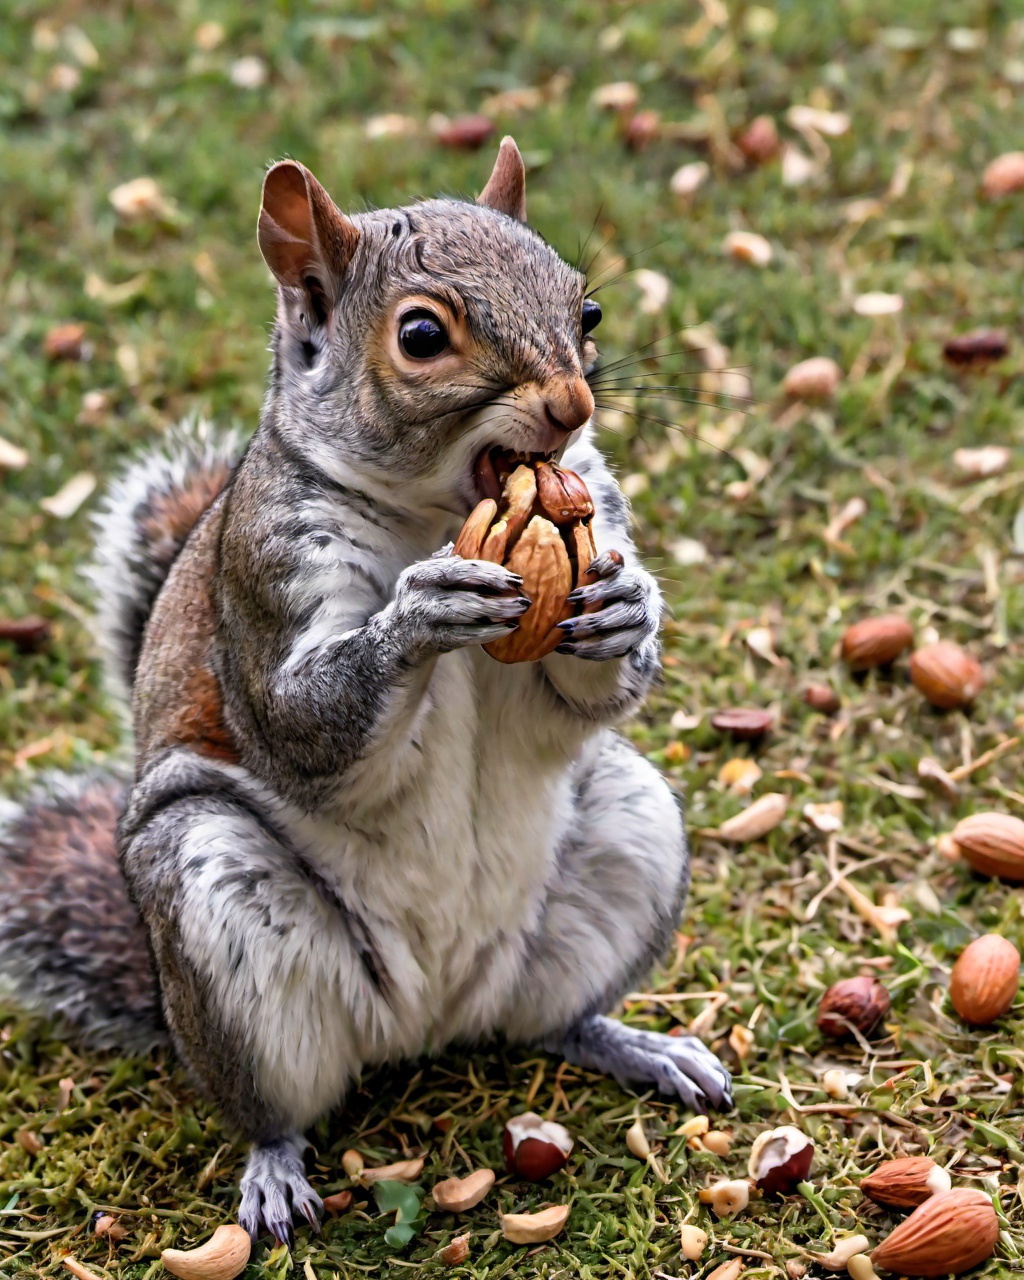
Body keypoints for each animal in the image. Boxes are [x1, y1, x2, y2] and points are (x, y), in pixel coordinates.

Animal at [4, 137, 732, 1239]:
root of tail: (430, 1019)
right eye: (422, 335)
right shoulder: (267, 574)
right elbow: (301, 723)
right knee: (272, 1100)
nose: (573, 406)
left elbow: (588, 692)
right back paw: (273, 1167)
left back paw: (635, 1044)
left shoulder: (591, 506)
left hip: (625, 830)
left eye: (588, 310)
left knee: (550, 1020)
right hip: (213, 899)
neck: (437, 511)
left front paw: (626, 605)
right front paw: (419, 613)